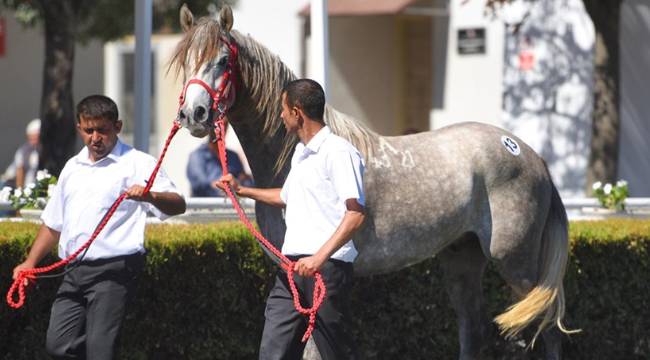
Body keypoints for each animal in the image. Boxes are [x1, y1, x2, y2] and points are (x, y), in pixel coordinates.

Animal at [168, 5, 572, 360]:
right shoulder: (290, 274)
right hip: (462, 259)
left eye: (223, 61)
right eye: (185, 62)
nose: (193, 115)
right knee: (474, 328)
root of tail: (532, 157)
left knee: (547, 327)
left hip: (516, 262)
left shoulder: (315, 276)